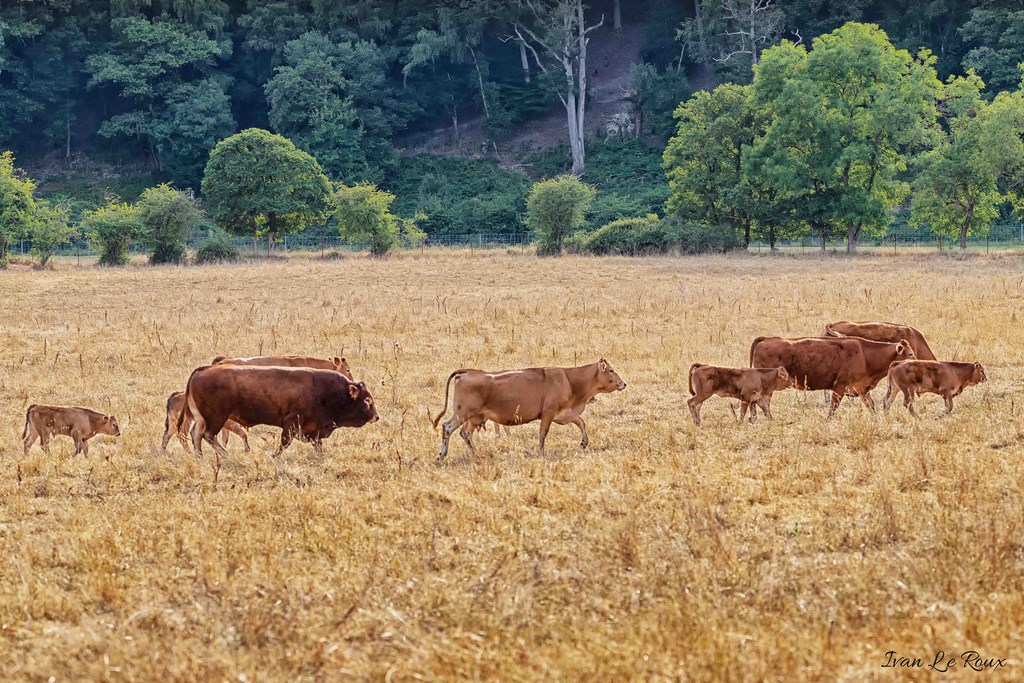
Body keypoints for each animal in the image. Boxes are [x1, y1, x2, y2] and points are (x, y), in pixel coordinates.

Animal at [178, 365, 378, 466]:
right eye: (367, 400)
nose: (377, 416)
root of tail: (202, 370)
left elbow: (317, 444)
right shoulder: (292, 424)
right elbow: (285, 443)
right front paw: (274, 456)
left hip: (202, 418)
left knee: (196, 435)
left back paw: (200, 458)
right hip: (217, 418)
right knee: (208, 435)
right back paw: (225, 455)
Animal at [431, 359, 627, 460]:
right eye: (611, 370)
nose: (624, 383)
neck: (570, 380)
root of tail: (468, 372)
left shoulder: (563, 413)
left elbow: (581, 422)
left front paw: (584, 442)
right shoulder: (548, 413)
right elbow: (543, 433)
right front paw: (541, 452)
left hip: (475, 417)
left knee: (465, 433)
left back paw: (476, 454)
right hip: (462, 413)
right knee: (447, 427)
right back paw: (442, 454)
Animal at [750, 336, 916, 416]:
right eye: (910, 353)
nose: (917, 362)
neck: (865, 355)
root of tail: (766, 339)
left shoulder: (862, 389)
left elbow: (872, 406)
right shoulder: (839, 388)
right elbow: (832, 408)